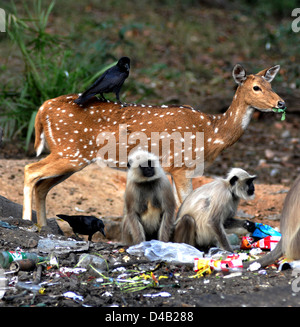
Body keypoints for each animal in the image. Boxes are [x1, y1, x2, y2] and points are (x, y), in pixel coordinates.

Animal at [22, 65, 284, 227]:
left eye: (271, 85)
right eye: (256, 87)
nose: (281, 102)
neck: (212, 132)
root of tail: (43, 109)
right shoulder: (181, 164)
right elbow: (185, 202)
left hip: (71, 155)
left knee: (42, 186)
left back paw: (43, 226)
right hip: (71, 152)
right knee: (30, 170)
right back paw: (26, 220)